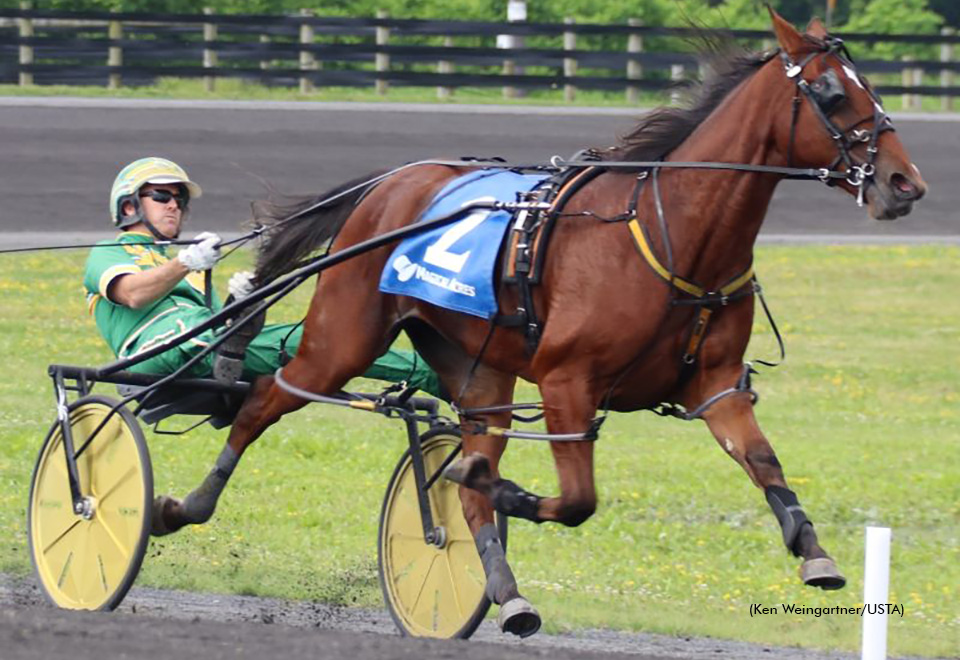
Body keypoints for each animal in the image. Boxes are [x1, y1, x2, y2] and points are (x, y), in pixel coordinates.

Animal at [148, 11, 924, 640]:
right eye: (831, 93)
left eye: (874, 87)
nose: (904, 184)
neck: (672, 234)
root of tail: (390, 183)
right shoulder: (566, 382)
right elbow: (576, 500)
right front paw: (512, 491)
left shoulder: (715, 385)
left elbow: (764, 463)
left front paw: (813, 550)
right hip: (343, 338)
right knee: (263, 403)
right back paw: (183, 506)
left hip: (477, 366)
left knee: (468, 463)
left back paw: (507, 590)